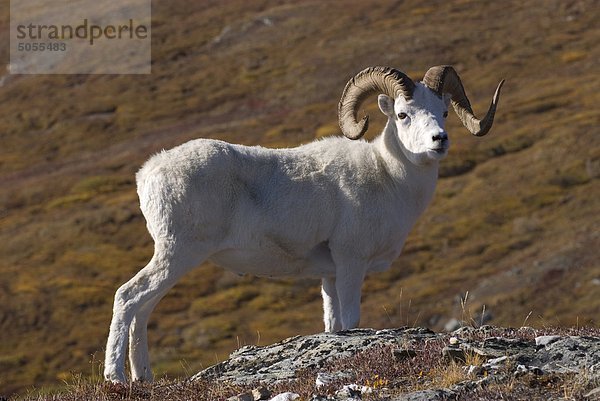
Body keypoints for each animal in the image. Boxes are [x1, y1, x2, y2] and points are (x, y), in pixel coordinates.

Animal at [104, 65, 506, 382]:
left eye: (443, 112)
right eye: (404, 114)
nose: (440, 140)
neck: (388, 177)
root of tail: (148, 173)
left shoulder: (328, 276)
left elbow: (334, 325)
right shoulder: (350, 264)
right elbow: (352, 320)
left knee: (143, 309)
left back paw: (143, 377)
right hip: (177, 254)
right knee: (128, 297)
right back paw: (116, 379)